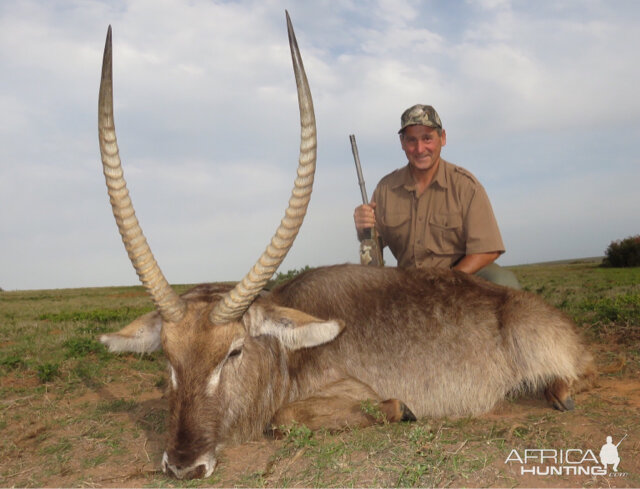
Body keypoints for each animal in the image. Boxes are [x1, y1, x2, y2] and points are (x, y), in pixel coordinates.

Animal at [96, 13, 596, 478]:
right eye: (168, 358)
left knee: (576, 373)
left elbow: (285, 416)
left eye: (233, 352)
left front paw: (398, 408)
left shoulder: (347, 388)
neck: (285, 358)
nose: (184, 466)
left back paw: (558, 393)